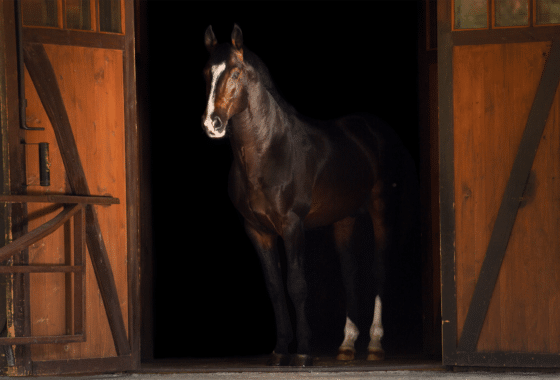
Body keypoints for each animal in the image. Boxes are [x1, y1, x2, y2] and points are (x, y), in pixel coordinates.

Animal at [203, 23, 418, 366]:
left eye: (235, 73)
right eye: (206, 73)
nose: (213, 124)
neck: (270, 152)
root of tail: (377, 131)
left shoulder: (292, 226)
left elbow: (297, 285)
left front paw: (303, 351)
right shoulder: (258, 231)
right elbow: (275, 289)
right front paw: (280, 350)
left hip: (381, 209)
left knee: (379, 269)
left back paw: (374, 344)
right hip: (344, 219)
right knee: (350, 273)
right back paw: (347, 344)